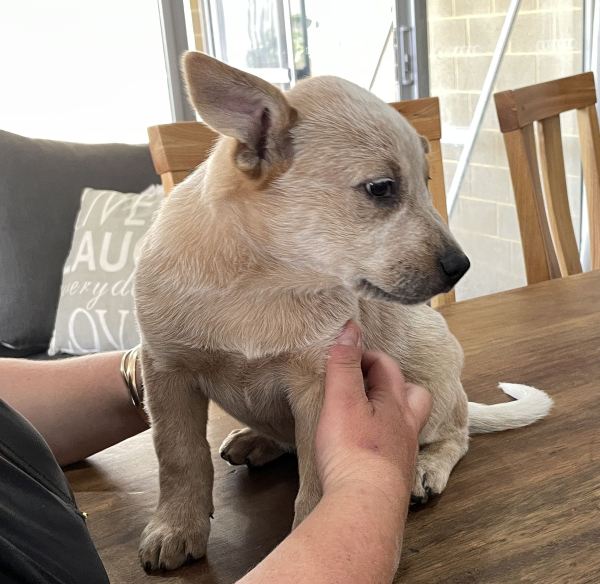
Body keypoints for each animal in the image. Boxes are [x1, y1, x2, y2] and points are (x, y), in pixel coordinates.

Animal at [134, 51, 552, 572]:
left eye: (427, 182)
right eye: (381, 188)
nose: (462, 267)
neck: (261, 283)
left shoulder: (320, 386)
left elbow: (316, 477)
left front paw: (305, 529)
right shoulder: (165, 371)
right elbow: (179, 455)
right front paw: (176, 525)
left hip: (435, 380)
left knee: (457, 435)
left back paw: (426, 466)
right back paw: (260, 439)